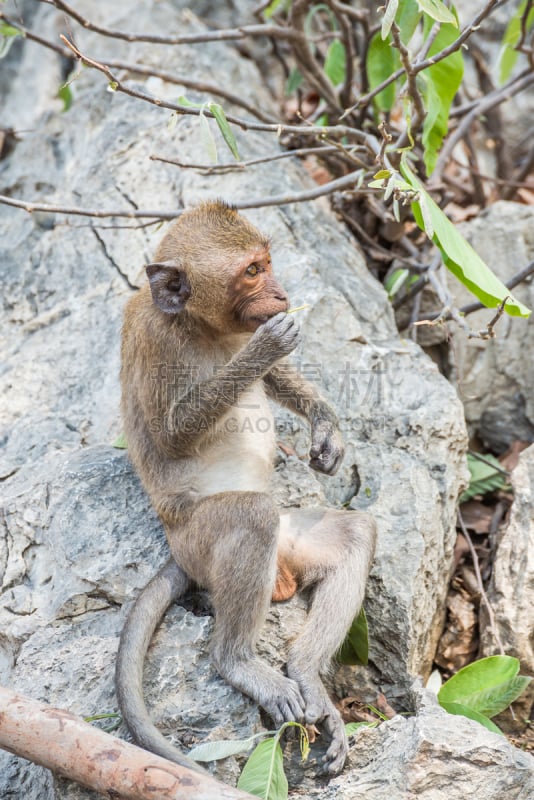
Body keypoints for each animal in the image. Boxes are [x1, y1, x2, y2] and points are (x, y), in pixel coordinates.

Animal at [116, 200, 376, 776]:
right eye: (253, 271)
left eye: (267, 262)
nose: (280, 292)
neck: (199, 325)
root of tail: (178, 551)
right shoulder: (155, 339)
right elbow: (171, 433)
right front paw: (268, 344)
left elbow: (279, 379)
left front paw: (327, 429)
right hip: (201, 540)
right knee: (252, 518)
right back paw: (238, 663)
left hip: (291, 543)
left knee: (354, 532)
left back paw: (306, 673)